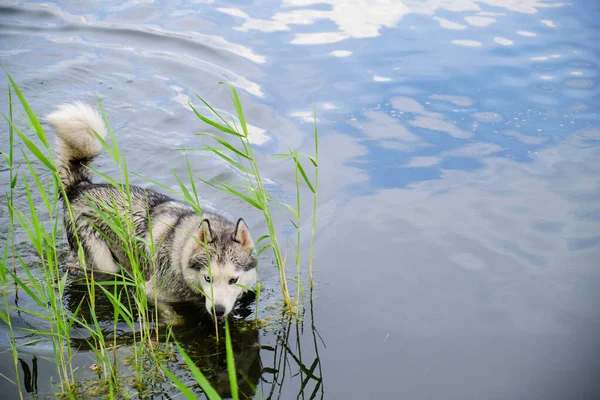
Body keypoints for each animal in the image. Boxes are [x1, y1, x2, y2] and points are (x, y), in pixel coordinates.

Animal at [48, 102, 258, 318]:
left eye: (233, 280)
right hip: (104, 264)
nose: (218, 311)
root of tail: (81, 187)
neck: (181, 252)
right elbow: (173, 317)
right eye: (208, 278)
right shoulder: (149, 292)